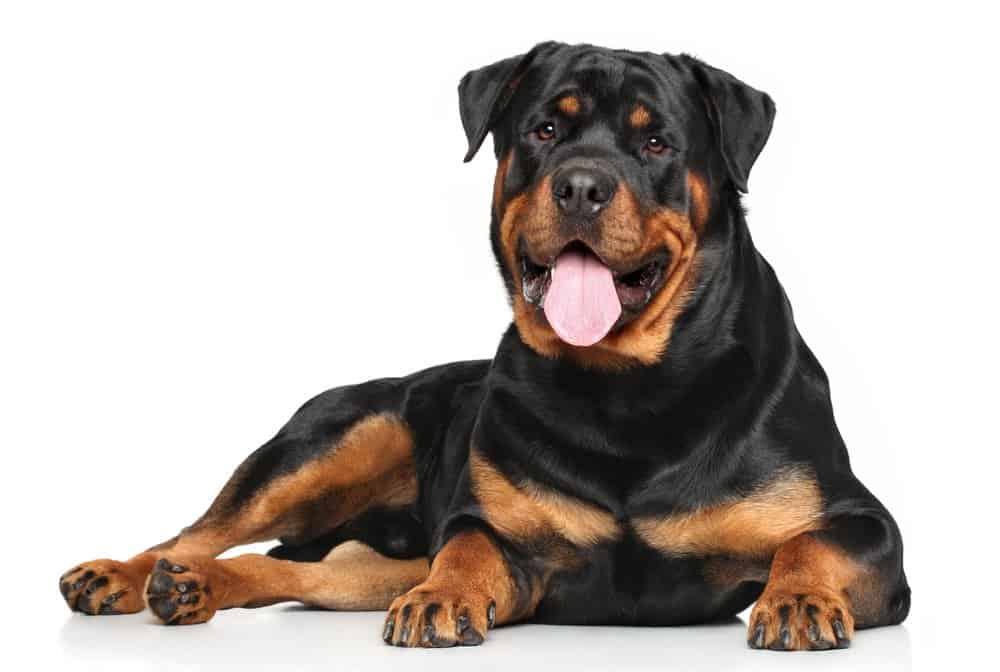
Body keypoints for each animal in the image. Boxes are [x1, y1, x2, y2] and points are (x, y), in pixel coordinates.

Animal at [58, 42, 912, 652]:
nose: (580, 186)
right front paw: (445, 597)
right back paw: (127, 576)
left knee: (300, 570)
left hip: (367, 550)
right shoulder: (494, 530)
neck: (628, 389)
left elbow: (811, 546)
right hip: (331, 438)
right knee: (200, 531)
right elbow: (467, 548)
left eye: (657, 143)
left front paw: (798, 598)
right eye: (544, 130)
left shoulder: (868, 529)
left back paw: (195, 587)